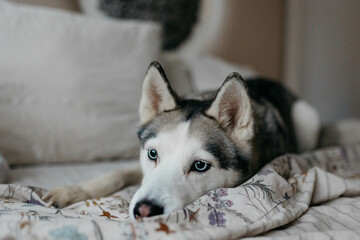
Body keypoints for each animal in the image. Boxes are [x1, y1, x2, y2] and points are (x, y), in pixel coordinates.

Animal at [43, 61, 320, 219]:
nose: (144, 211)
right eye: (152, 154)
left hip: (307, 118)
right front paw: (72, 191)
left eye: (200, 165)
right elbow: (116, 174)